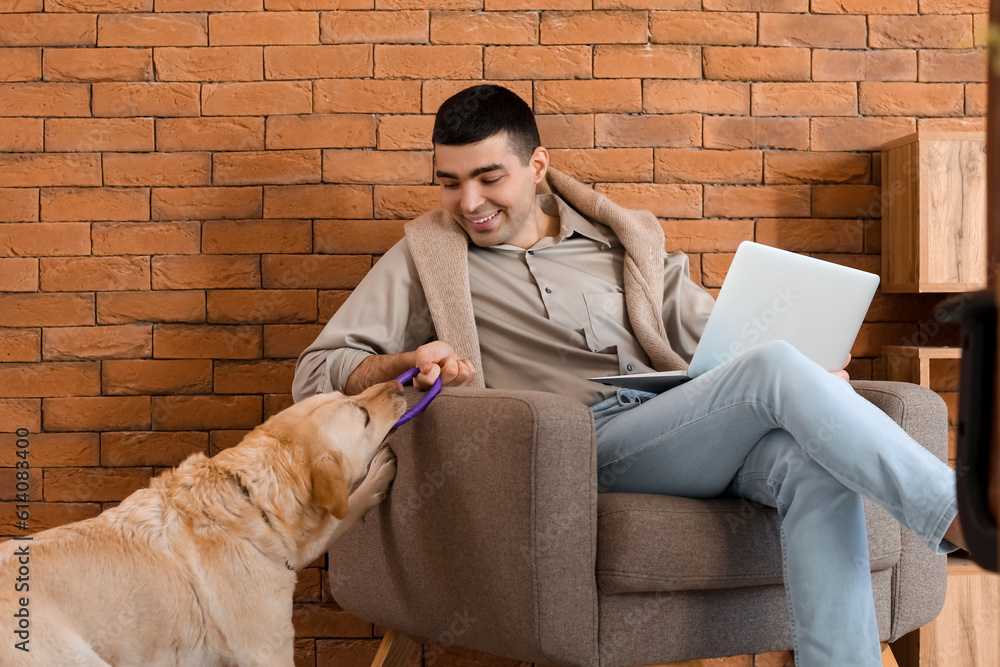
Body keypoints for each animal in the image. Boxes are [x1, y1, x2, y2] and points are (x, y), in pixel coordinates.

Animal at [0, 380, 410, 667]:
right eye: (363, 415)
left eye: (350, 393)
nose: (399, 383)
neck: (250, 498)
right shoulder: (268, 649)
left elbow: (340, 515)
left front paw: (375, 478)